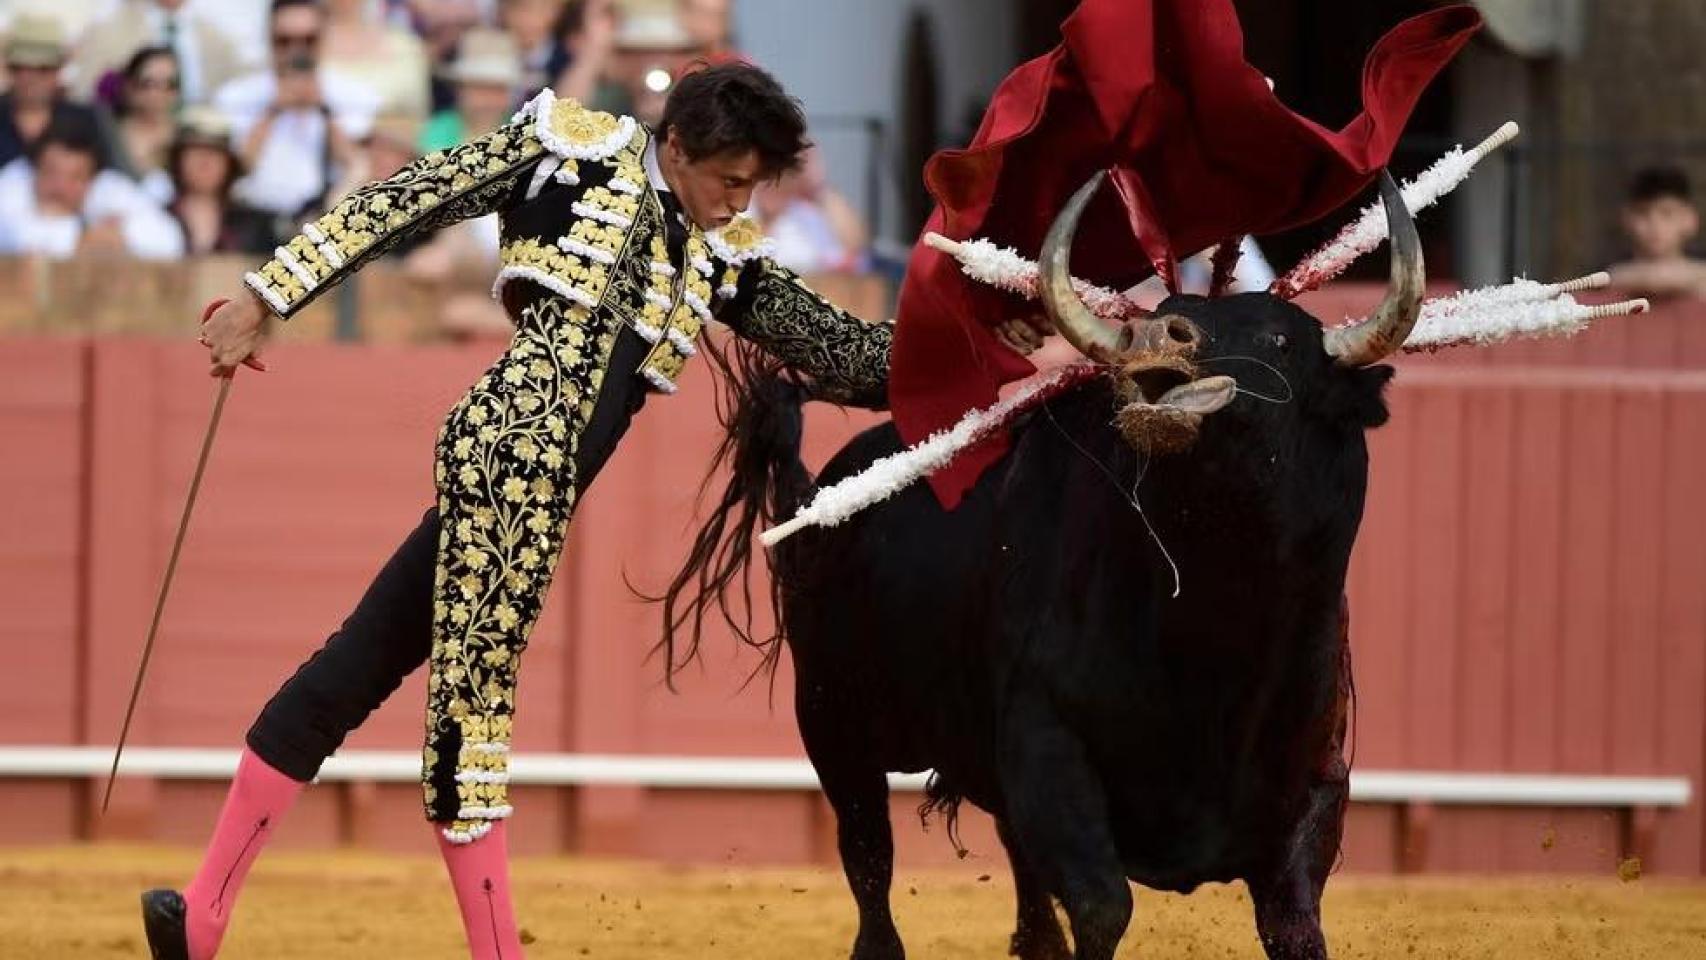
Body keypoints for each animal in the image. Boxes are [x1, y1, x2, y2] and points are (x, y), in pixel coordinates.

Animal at [665, 174, 1426, 960]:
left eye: (1280, 340)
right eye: (1172, 312)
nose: (1158, 336)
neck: (1210, 625)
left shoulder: (1316, 783)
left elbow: (1294, 922)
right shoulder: (1047, 748)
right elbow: (1101, 906)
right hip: (833, 723)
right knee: (870, 866)